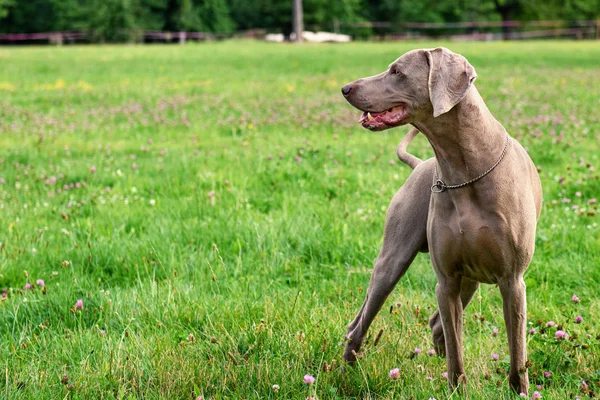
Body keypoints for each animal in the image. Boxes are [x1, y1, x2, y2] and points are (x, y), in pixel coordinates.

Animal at [340, 47, 540, 394]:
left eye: (396, 71)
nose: (346, 88)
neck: (465, 170)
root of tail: (421, 164)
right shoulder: (446, 279)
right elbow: (456, 355)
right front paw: (457, 389)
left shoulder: (512, 280)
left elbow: (517, 353)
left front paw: (521, 392)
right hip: (393, 260)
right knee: (361, 322)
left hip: (472, 279)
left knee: (435, 324)